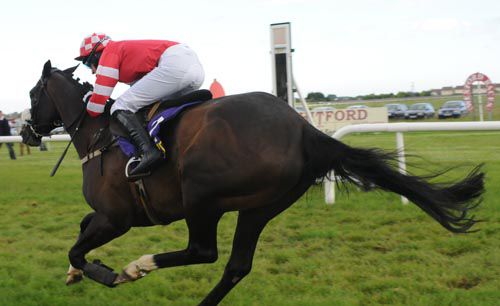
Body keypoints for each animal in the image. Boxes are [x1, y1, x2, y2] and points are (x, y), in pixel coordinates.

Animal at [22, 61, 484, 304]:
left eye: (31, 94)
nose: (25, 132)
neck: (97, 133)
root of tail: (303, 130)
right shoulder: (108, 214)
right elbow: (80, 231)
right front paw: (73, 273)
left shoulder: (117, 217)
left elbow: (79, 246)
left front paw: (104, 272)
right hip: (260, 206)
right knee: (236, 266)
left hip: (202, 195)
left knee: (203, 251)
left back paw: (141, 265)